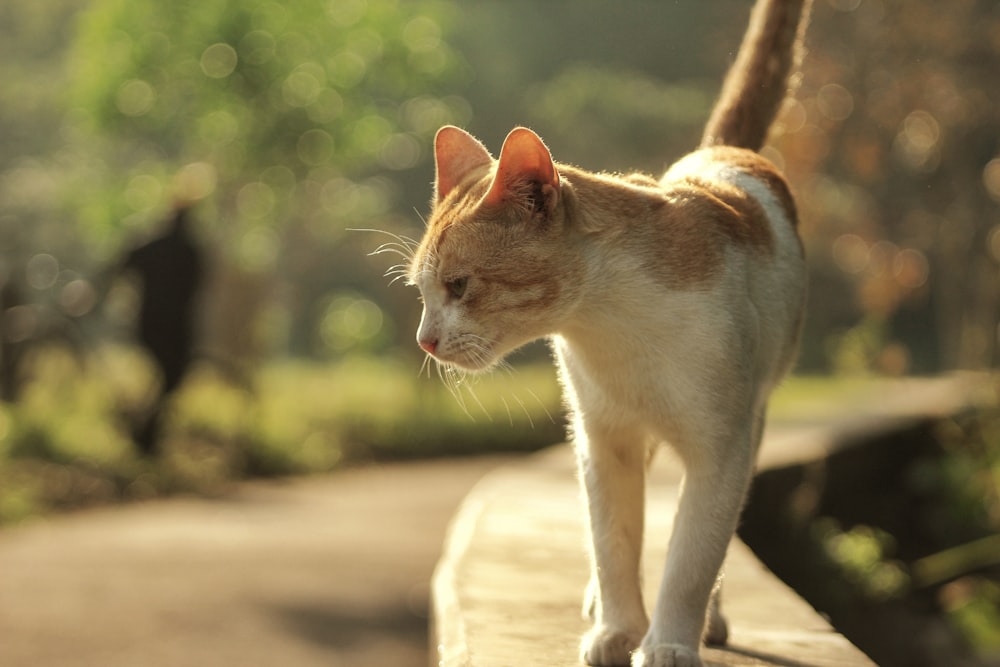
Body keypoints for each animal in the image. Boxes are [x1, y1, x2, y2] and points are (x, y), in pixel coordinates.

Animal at [406, 1, 812, 667]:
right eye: (422, 292)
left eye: (459, 286)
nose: (425, 340)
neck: (614, 327)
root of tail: (722, 152)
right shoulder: (602, 440)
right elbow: (613, 541)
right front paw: (617, 630)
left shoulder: (721, 449)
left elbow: (692, 557)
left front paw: (670, 640)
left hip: (751, 422)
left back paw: (711, 620)